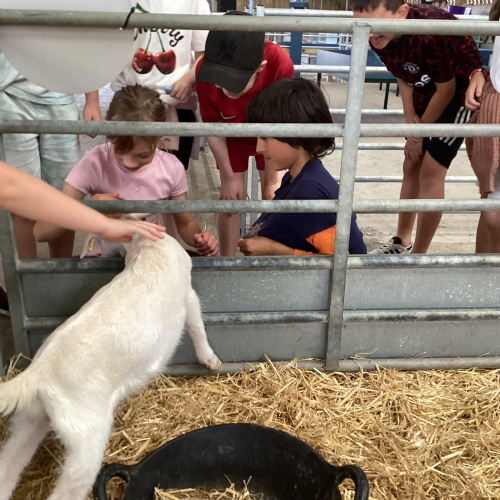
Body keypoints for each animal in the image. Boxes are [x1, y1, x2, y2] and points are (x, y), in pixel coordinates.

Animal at [0, 234, 221, 500]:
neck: (147, 248)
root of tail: (39, 373)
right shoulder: (188, 293)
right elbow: (197, 325)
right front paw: (211, 360)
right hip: (86, 436)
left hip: (31, 416)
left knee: (9, 462)